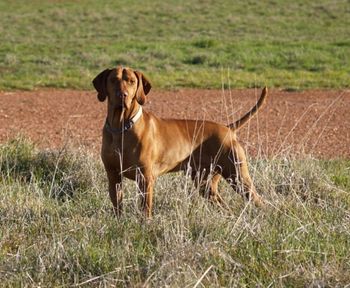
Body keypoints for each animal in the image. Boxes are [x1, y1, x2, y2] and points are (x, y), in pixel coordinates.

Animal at [93, 66, 268, 217]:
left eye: (131, 81)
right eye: (113, 80)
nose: (122, 95)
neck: (121, 128)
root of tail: (227, 129)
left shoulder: (145, 178)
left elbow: (145, 211)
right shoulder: (113, 176)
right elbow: (117, 207)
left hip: (238, 176)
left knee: (259, 201)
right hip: (205, 182)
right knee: (224, 206)